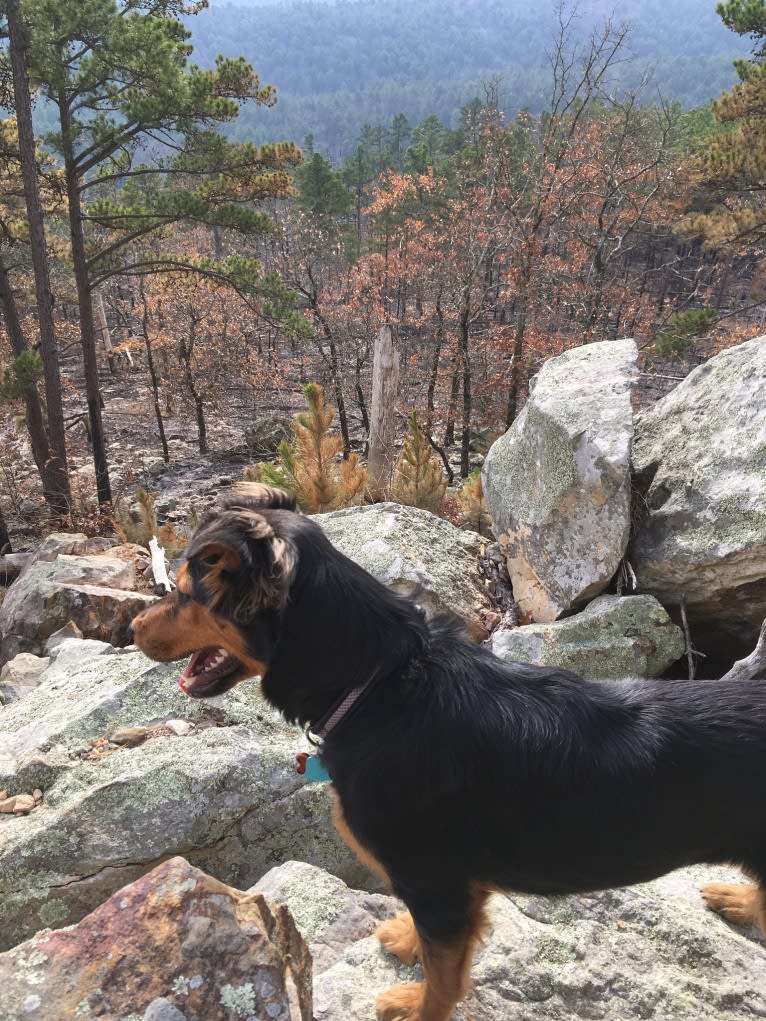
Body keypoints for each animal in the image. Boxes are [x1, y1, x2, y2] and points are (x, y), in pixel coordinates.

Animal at [133, 483, 766, 1021]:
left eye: (186, 593)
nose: (134, 627)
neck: (379, 684)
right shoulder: (454, 886)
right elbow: (440, 950)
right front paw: (408, 941)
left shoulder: (433, 881)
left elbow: (445, 977)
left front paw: (417, 1007)